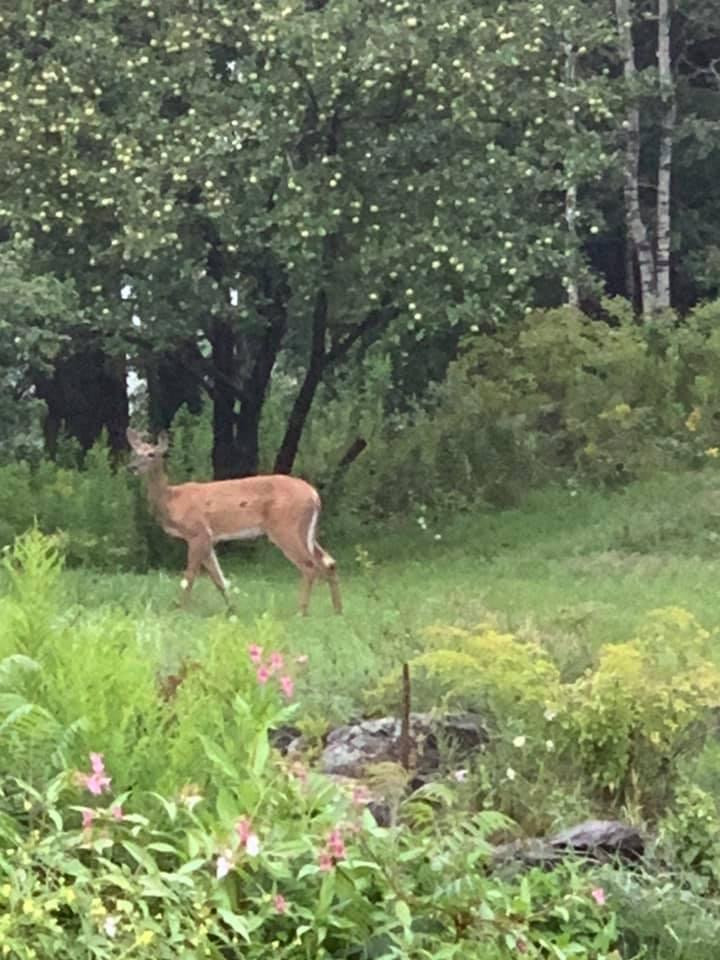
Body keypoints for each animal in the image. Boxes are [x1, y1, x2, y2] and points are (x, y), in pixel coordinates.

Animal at [126, 429, 342, 616]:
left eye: (151, 454)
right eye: (134, 452)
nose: (132, 467)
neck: (172, 500)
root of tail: (314, 496)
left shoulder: (197, 532)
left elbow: (190, 576)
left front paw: (179, 609)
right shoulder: (209, 538)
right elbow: (218, 578)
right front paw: (232, 609)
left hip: (285, 527)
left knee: (310, 565)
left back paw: (301, 612)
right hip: (306, 532)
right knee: (329, 562)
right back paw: (337, 611)